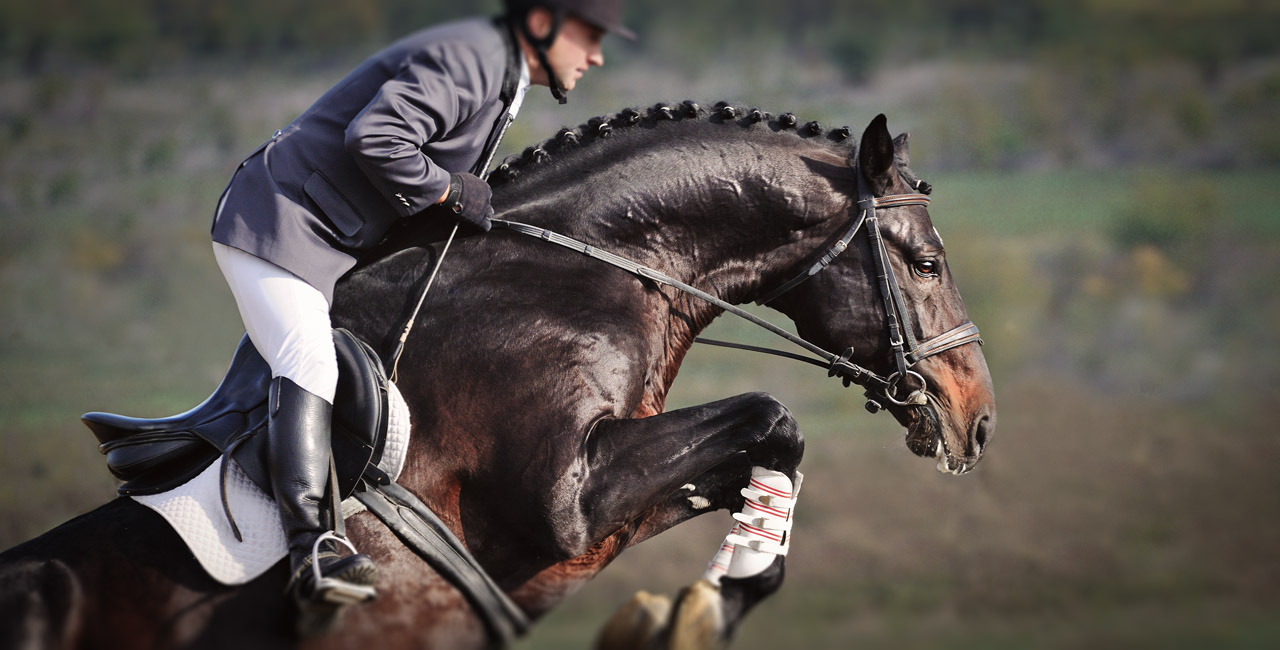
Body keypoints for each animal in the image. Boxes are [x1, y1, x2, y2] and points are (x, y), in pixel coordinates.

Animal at [0, 102, 996, 650]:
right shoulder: (567, 498)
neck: (585, 272)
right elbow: (770, 409)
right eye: (927, 263)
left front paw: (704, 605)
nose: (977, 420)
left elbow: (765, 449)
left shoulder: (608, 514)